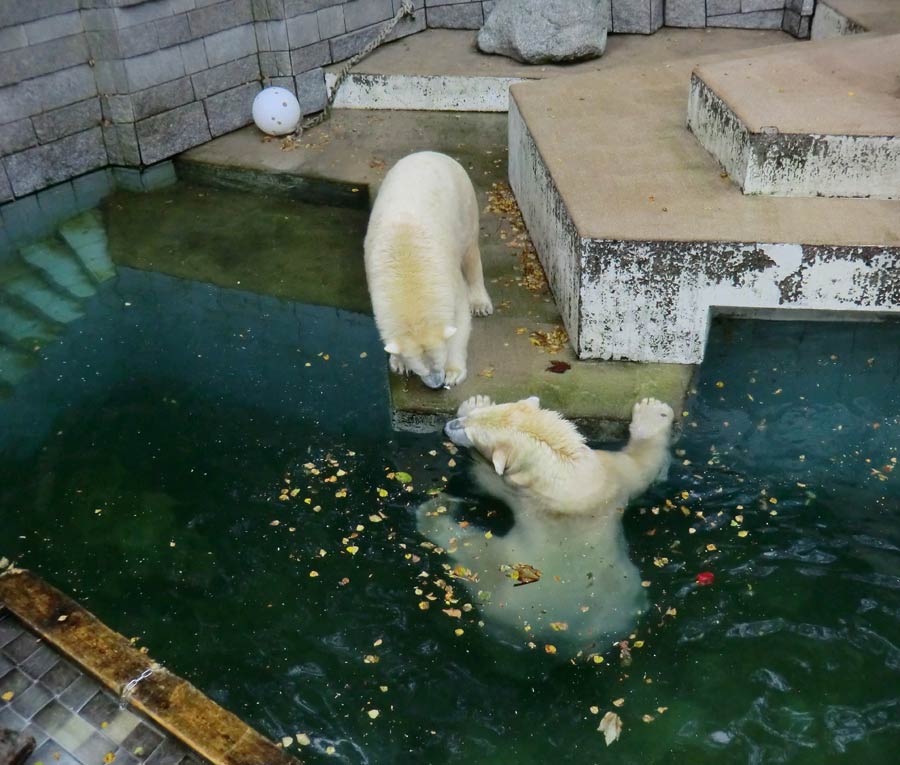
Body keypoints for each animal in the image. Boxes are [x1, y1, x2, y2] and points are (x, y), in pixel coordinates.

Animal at [364, 151, 492, 388]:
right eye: (420, 369)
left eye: (440, 361)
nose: (437, 384)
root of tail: (429, 153)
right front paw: (398, 363)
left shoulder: (448, 281)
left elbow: (460, 320)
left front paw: (454, 372)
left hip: (464, 202)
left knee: (470, 251)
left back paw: (480, 303)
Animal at [418, 394, 672, 652]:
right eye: (471, 419)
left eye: (470, 433)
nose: (447, 427)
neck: (570, 478)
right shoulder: (613, 476)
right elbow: (642, 465)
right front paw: (656, 411)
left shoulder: (520, 491)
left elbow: (485, 478)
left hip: (508, 579)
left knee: (476, 552)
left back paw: (435, 511)